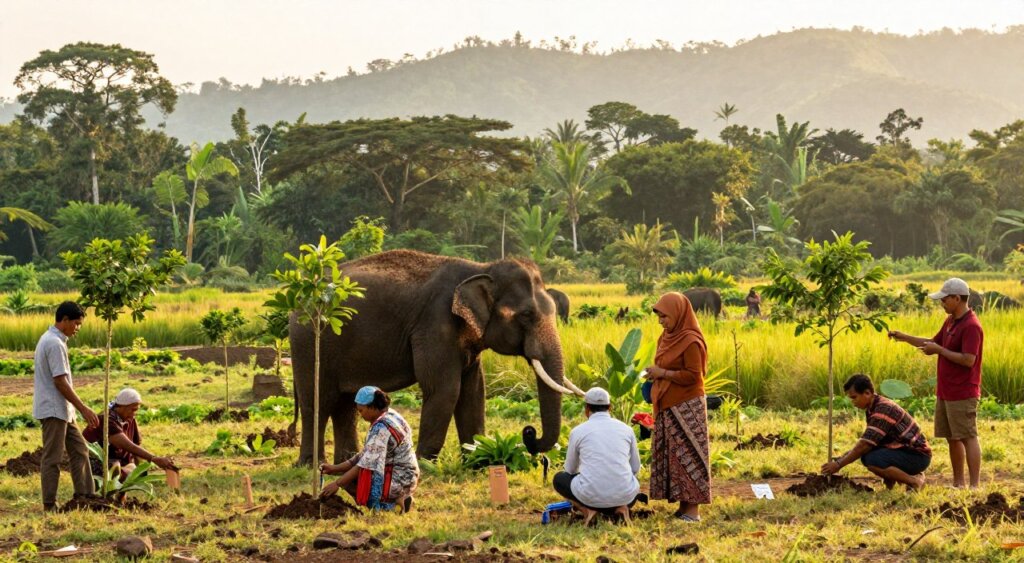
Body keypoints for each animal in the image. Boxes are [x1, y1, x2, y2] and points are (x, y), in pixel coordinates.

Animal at [288, 249, 585, 465]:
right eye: (526, 315)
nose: (529, 432)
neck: (481, 268)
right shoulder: (435, 324)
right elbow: (444, 389)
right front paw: (425, 463)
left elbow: (473, 391)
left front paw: (479, 460)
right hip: (309, 341)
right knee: (318, 400)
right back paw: (310, 465)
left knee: (346, 402)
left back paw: (345, 461)